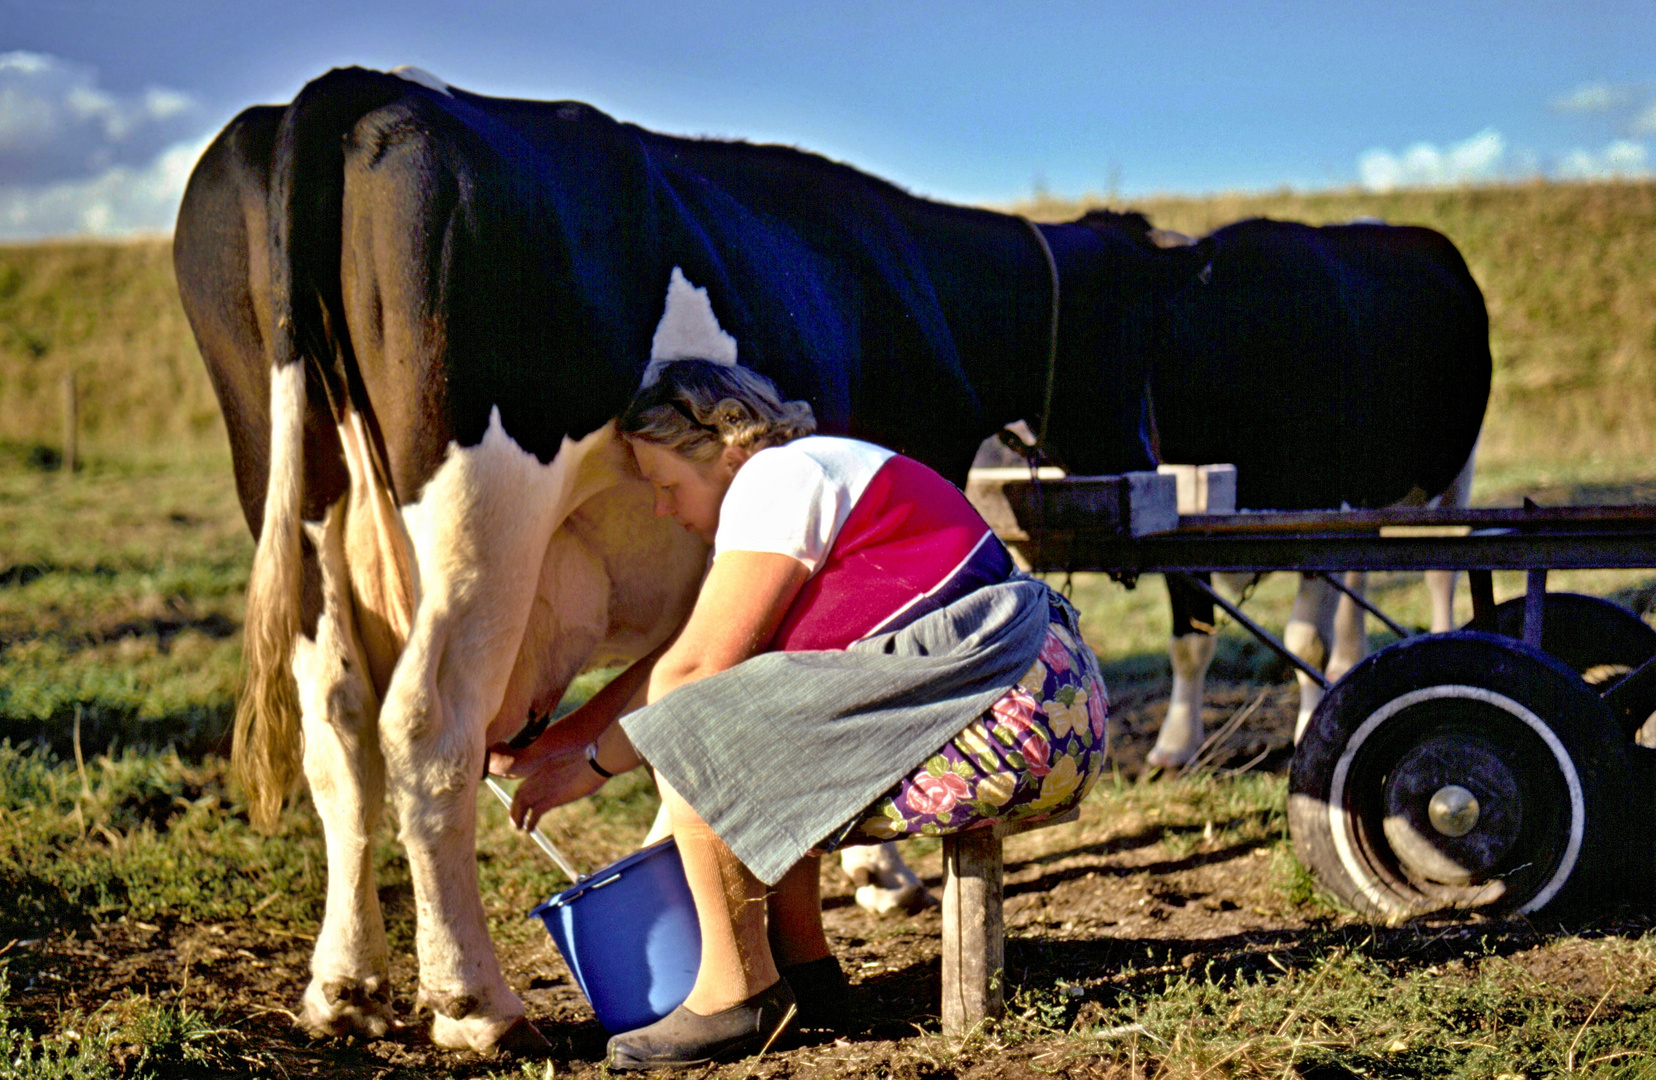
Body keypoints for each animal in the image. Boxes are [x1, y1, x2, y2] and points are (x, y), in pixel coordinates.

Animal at [1079, 213, 1497, 768]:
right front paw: (1174, 745)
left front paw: (1309, 732)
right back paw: (1349, 662)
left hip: (1454, 474)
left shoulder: (1321, 506)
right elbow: (1189, 643)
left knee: (1440, 571)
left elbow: (1305, 641)